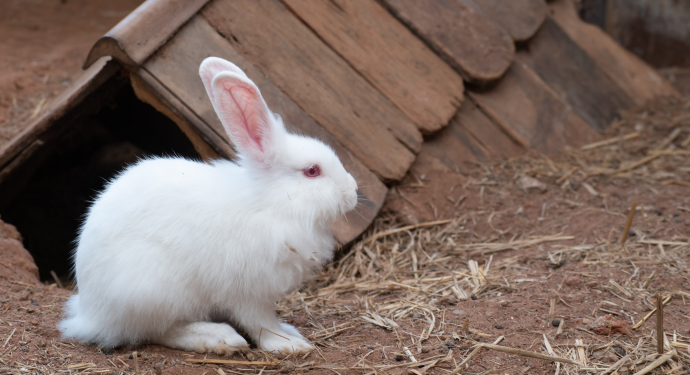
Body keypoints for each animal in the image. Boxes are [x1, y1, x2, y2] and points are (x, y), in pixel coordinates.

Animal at [59, 57, 358, 356]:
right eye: (312, 171)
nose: (353, 192)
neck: (273, 204)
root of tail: (88, 315)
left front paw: (290, 333)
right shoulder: (248, 291)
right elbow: (261, 322)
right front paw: (288, 344)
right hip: (155, 292)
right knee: (158, 331)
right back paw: (220, 338)